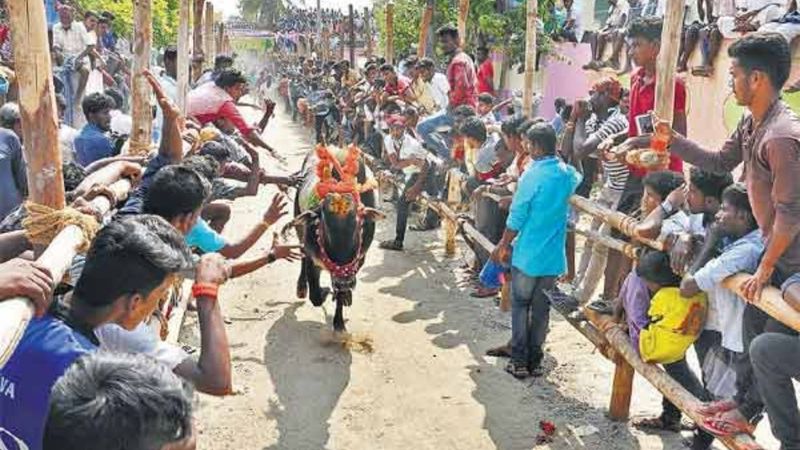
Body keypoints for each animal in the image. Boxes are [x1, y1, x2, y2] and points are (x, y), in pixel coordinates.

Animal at [292, 155, 382, 330]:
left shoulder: (359, 260)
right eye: (324, 226)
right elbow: (316, 297)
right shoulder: (313, 258)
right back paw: (301, 287)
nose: (344, 283)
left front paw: (339, 321)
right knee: (302, 257)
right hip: (299, 226)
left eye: (359, 226)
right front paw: (326, 291)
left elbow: (340, 294)